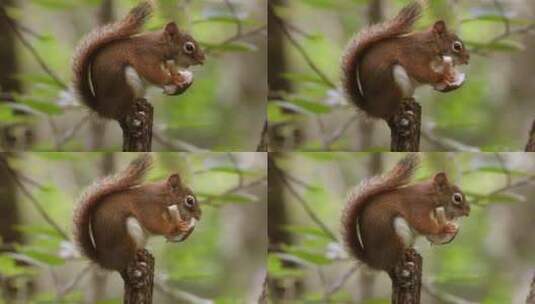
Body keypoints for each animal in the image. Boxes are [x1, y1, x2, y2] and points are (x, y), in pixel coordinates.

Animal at [71, 1, 205, 120]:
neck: (160, 45)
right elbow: (153, 73)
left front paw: (177, 76)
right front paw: (174, 80)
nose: (203, 59)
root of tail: (102, 109)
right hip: (127, 84)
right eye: (189, 47)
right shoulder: (145, 56)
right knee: (121, 112)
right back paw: (133, 109)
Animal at [73, 154, 201, 274]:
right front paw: (177, 227)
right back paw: (136, 260)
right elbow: (154, 224)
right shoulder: (148, 206)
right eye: (189, 200)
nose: (199, 216)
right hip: (130, 234)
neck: (163, 198)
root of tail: (106, 262)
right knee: (127, 260)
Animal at [342, 3, 472, 121]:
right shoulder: (415, 55)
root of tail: (374, 109)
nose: (467, 60)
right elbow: (421, 72)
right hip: (394, 82)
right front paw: (444, 76)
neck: (431, 45)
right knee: (392, 109)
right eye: (456, 46)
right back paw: (401, 106)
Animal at [342, 153, 472, 276]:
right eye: (457, 198)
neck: (431, 196)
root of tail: (376, 262)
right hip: (397, 235)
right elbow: (422, 223)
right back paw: (405, 257)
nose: (468, 212)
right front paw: (445, 228)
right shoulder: (418, 207)